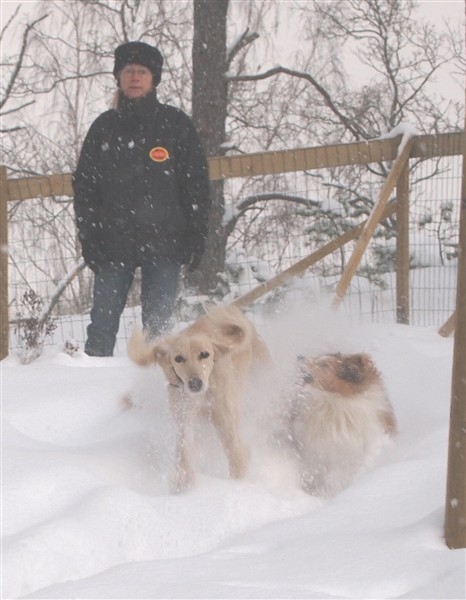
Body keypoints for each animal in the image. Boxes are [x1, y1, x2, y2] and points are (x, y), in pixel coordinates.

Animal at [127, 308, 274, 494]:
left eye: (204, 354)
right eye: (178, 358)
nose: (195, 383)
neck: (203, 395)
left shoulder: (225, 419)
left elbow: (234, 450)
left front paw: (238, 483)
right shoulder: (184, 416)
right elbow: (183, 450)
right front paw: (182, 485)